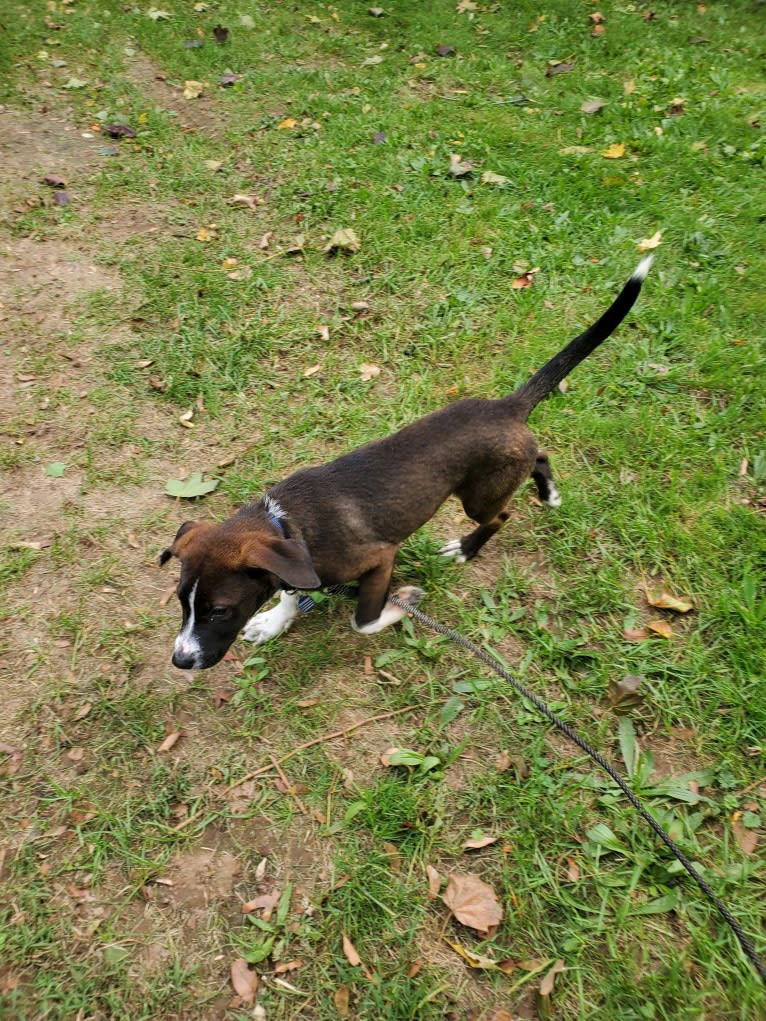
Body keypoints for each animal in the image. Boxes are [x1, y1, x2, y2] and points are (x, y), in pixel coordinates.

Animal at [162, 257, 653, 669]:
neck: (288, 525)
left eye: (220, 610)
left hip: (478, 497)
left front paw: (403, 603)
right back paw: (549, 493)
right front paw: (274, 621)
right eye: (182, 602)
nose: (181, 661)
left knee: (502, 513)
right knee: (540, 454)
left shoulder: (381, 558)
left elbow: (363, 619)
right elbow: (288, 591)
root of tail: (507, 406)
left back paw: (469, 546)